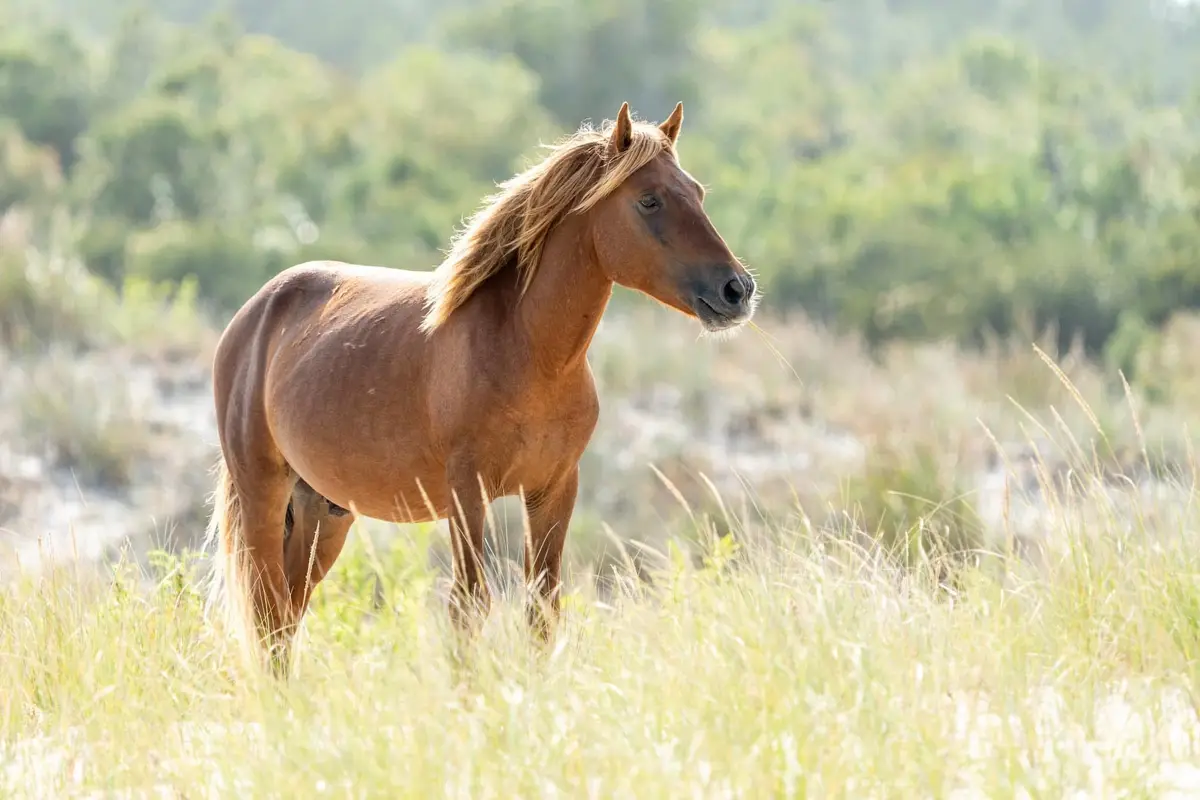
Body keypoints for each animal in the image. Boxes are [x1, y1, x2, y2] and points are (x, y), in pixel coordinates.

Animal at [202, 101, 758, 668]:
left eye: (697, 192)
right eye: (649, 200)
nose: (736, 290)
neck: (528, 353)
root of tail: (253, 316)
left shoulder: (554, 489)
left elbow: (541, 608)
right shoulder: (467, 493)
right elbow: (468, 606)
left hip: (323, 511)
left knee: (286, 617)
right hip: (263, 495)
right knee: (269, 613)